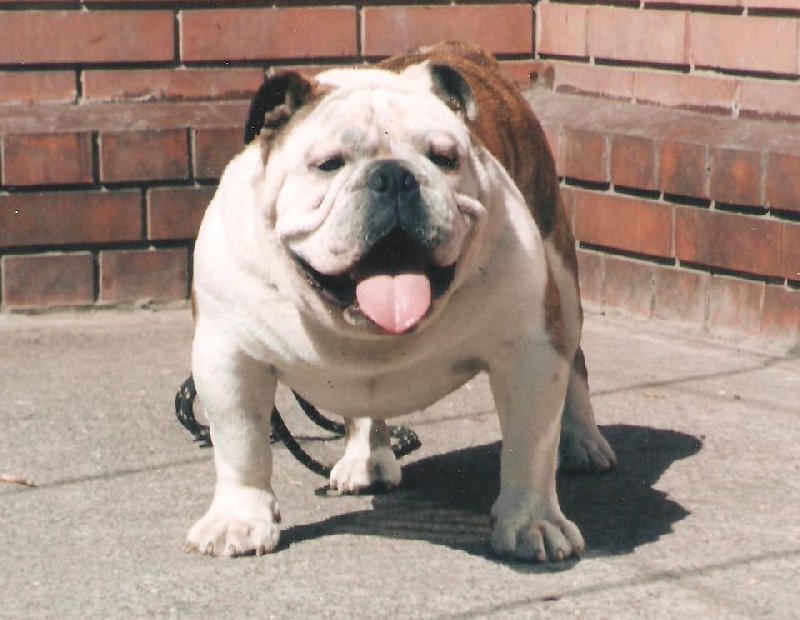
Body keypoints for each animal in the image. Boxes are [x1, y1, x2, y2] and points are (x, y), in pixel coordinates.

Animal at [185, 42, 615, 562]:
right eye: (329, 163)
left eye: (444, 157)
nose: (393, 176)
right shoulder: (229, 355)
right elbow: (241, 443)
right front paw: (239, 519)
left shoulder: (529, 352)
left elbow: (530, 445)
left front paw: (533, 522)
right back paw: (365, 459)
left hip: (562, 283)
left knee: (576, 364)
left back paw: (583, 442)